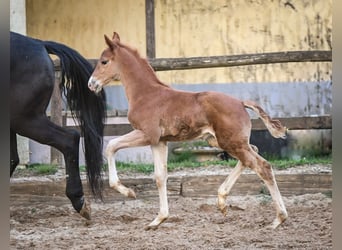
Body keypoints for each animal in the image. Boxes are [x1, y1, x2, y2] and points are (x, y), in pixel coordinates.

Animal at [88, 32, 288, 229]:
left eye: (104, 61)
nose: (91, 84)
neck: (146, 94)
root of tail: (240, 102)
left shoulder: (147, 134)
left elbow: (111, 146)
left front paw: (127, 192)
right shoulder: (159, 141)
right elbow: (160, 176)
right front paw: (158, 219)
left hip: (230, 142)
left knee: (262, 166)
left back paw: (278, 218)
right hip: (222, 141)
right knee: (252, 153)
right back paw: (222, 201)